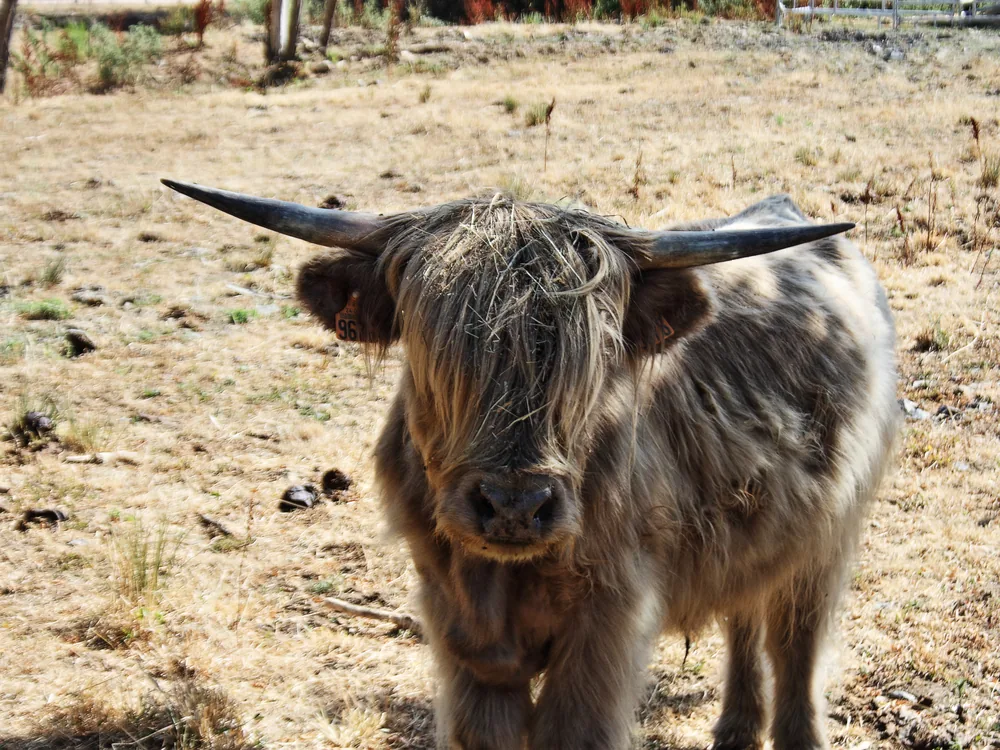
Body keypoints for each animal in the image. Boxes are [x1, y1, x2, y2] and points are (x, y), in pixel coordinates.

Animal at [163, 178, 899, 750]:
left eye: (594, 357)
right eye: (434, 349)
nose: (514, 506)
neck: (503, 580)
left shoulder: (607, 628)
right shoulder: (461, 633)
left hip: (831, 533)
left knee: (795, 646)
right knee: (746, 617)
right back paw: (735, 731)